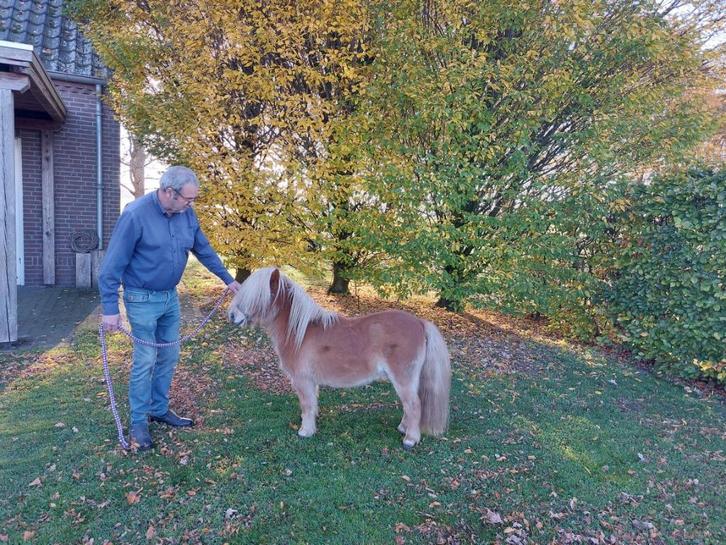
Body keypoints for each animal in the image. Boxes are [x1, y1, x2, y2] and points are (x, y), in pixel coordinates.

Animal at [227, 267, 451, 449]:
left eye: (254, 297)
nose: (231, 316)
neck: (300, 331)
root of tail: (420, 322)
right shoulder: (311, 381)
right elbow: (312, 403)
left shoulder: (302, 380)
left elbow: (306, 404)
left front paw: (305, 431)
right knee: (409, 404)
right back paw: (403, 428)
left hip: (403, 378)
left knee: (413, 404)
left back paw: (410, 439)